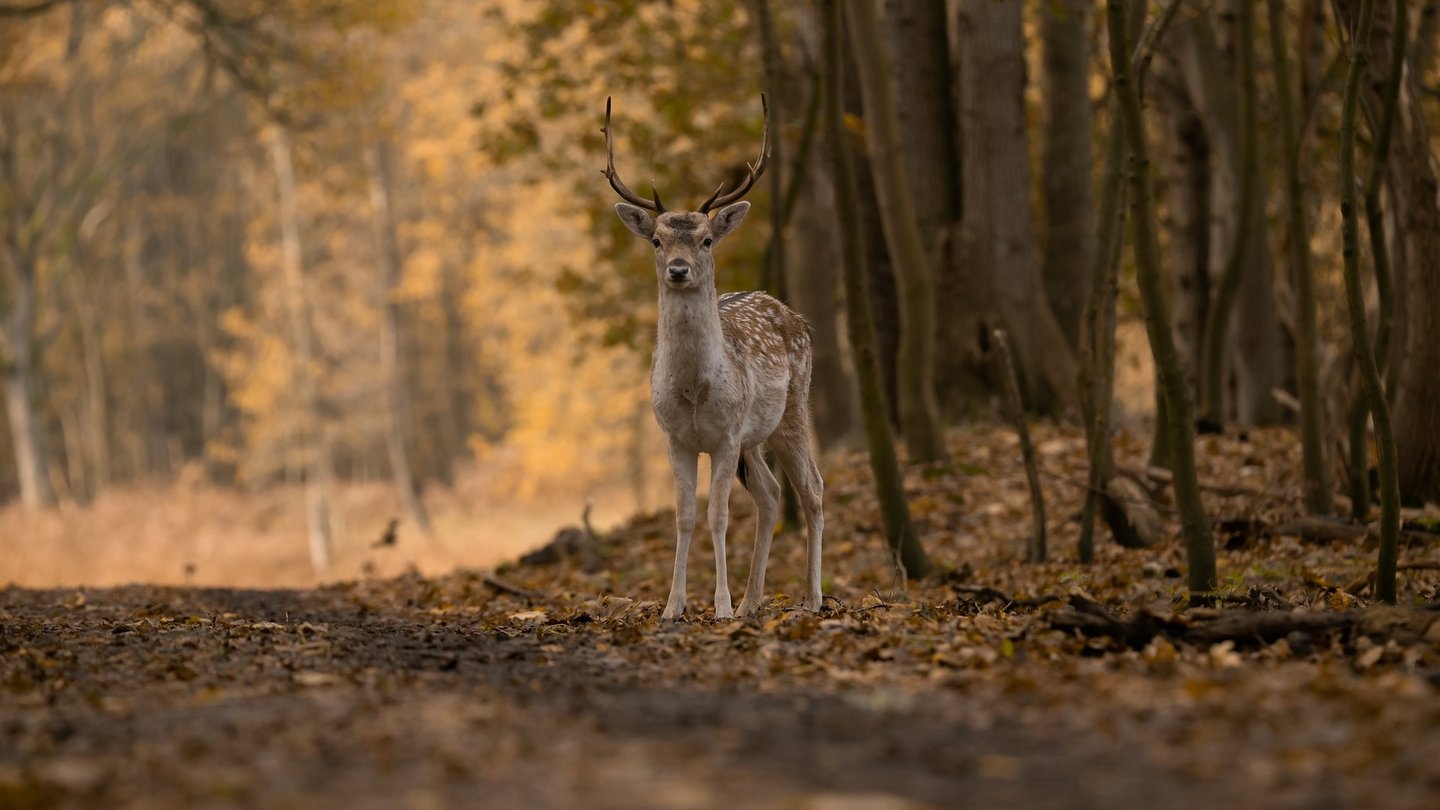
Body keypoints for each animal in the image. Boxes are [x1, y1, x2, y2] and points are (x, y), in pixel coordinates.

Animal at [599, 95, 823, 616]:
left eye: (705, 239)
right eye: (657, 240)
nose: (679, 269)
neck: (695, 392)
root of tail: (795, 315)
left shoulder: (725, 434)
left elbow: (718, 515)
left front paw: (718, 606)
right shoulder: (675, 437)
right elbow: (684, 516)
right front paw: (673, 606)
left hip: (793, 410)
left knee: (812, 490)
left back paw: (812, 598)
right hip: (754, 437)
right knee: (771, 494)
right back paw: (751, 603)